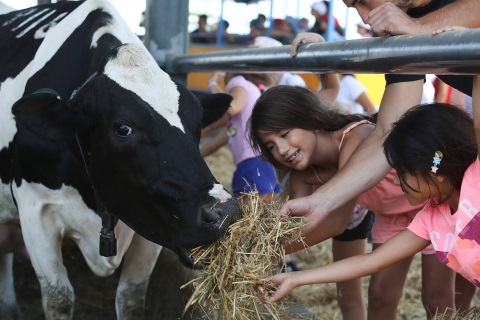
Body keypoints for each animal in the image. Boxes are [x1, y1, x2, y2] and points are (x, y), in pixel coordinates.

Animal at [0, 1, 240, 318]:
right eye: (123, 128)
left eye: (198, 123)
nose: (225, 212)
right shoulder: (35, 209)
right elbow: (58, 299)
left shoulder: (151, 222)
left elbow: (132, 298)